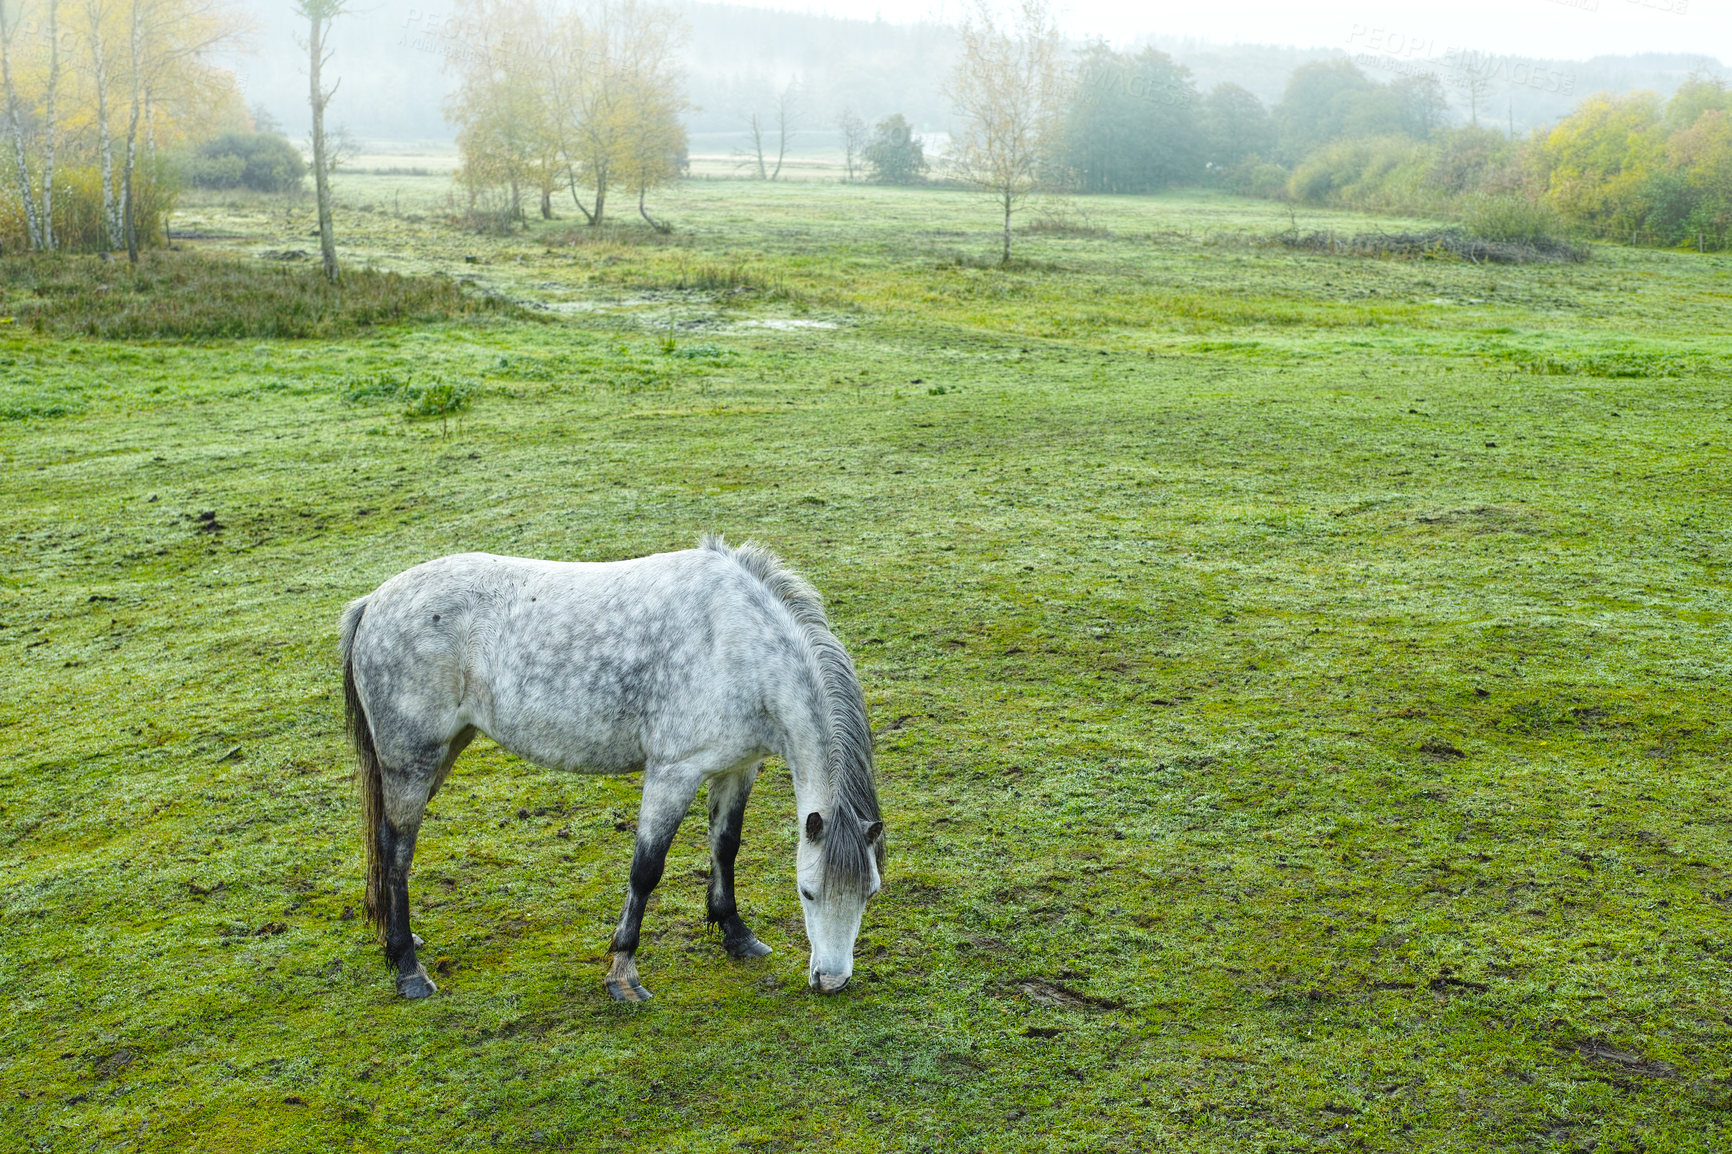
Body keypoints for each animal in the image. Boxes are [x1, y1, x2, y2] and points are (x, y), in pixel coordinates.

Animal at [338, 535, 885, 1002]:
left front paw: (736, 934)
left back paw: (400, 940)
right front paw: (623, 972)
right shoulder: (672, 773)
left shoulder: (738, 768)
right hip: (412, 760)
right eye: (807, 892)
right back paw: (407, 968)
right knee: (396, 850)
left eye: (870, 893)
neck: (739, 645)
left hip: (442, 751)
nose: (832, 981)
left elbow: (725, 848)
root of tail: (373, 602)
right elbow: (646, 869)